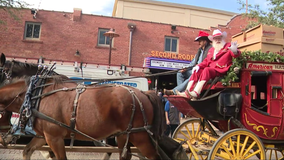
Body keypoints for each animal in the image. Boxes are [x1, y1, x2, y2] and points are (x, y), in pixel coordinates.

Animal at [0, 75, 165, 160]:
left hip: (140, 136)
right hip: (124, 135)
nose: (4, 139)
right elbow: (27, 150)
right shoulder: (44, 135)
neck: (38, 95)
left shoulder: (54, 137)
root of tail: (144, 93)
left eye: (2, 113)